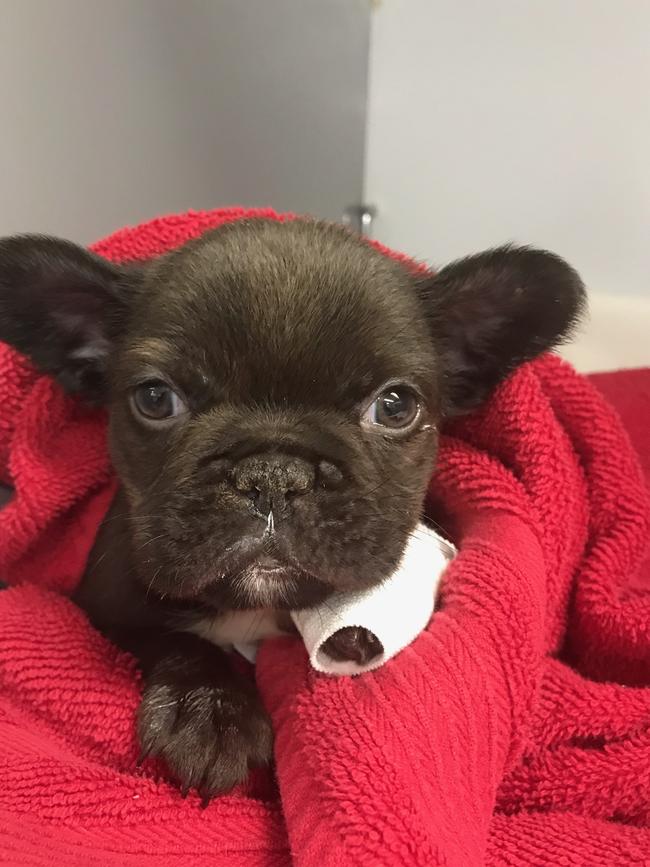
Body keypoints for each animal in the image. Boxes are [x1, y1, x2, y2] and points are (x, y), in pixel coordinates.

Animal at [0, 220, 584, 804]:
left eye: (395, 406)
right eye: (155, 398)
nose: (273, 475)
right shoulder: (106, 607)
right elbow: (178, 639)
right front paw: (209, 711)